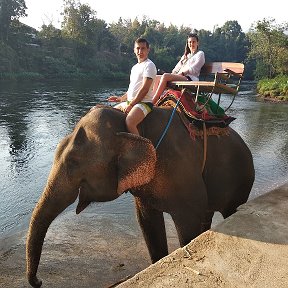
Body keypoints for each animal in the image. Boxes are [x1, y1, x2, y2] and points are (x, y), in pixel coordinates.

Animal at [25, 104, 254, 286]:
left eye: (73, 162)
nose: (39, 281)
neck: (130, 125)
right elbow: (148, 222)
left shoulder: (184, 174)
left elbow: (188, 222)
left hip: (242, 179)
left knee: (228, 210)